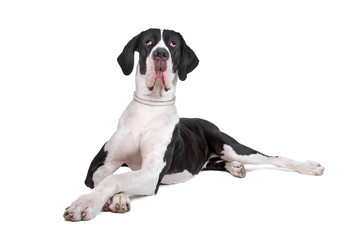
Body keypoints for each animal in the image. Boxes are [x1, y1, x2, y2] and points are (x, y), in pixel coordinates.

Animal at [63, 28, 324, 221]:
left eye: (172, 44)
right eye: (148, 41)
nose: (161, 54)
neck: (150, 107)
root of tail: (207, 121)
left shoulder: (152, 173)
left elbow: (116, 179)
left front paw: (86, 203)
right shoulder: (98, 165)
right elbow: (109, 177)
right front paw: (116, 198)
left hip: (231, 146)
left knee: (273, 158)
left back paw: (307, 166)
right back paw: (235, 168)